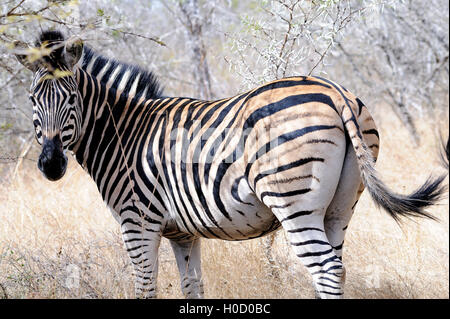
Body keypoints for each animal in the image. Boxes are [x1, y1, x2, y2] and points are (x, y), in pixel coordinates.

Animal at [14, 30, 446, 300]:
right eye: (33, 99)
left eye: (71, 98)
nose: (51, 165)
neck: (124, 133)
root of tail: (333, 89)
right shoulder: (182, 233)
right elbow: (192, 287)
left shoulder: (137, 222)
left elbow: (145, 287)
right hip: (340, 206)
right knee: (336, 267)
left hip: (295, 202)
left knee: (324, 268)